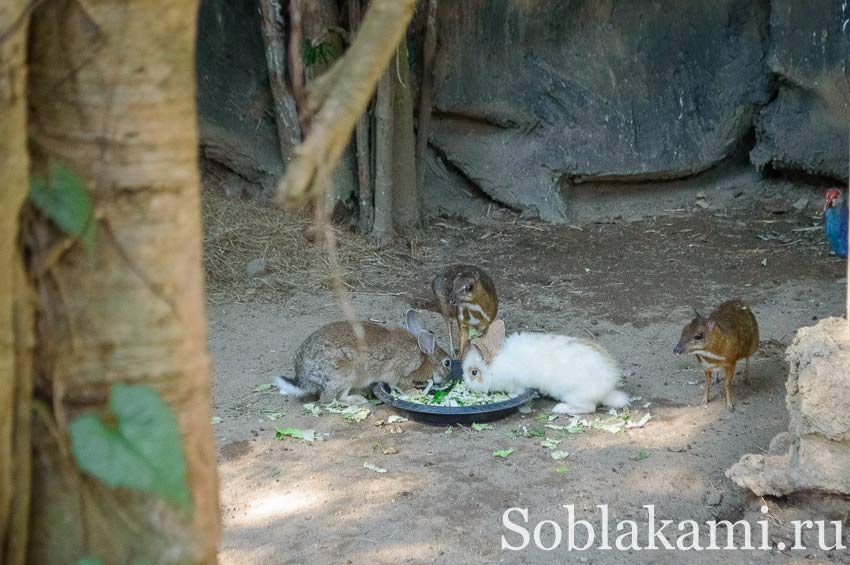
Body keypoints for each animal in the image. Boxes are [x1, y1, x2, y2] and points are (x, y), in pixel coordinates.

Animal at [276, 310, 450, 404]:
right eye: (447, 363)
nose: (447, 380)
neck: (424, 357)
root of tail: (304, 378)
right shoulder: (402, 372)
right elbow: (401, 385)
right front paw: (416, 393)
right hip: (346, 374)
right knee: (331, 398)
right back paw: (358, 400)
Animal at [460, 320, 628, 412]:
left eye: (474, 372)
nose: (467, 385)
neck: (495, 366)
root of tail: (607, 391)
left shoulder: (516, 383)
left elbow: (518, 391)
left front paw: (513, 397)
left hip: (574, 395)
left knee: (589, 408)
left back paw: (561, 409)